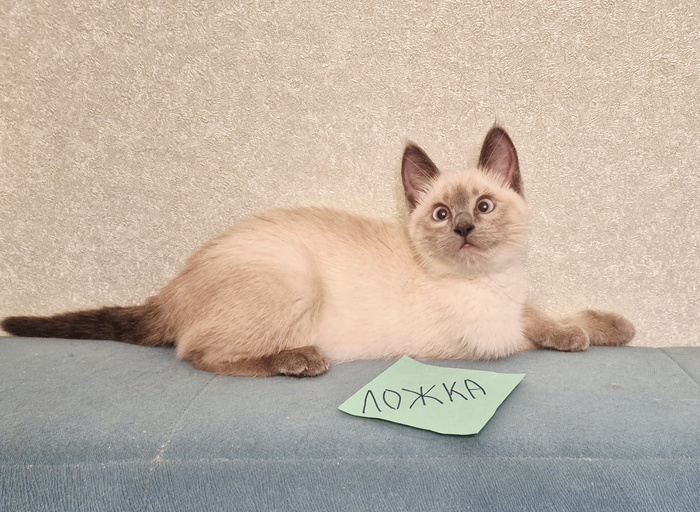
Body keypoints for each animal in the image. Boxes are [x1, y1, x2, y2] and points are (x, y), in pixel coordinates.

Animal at [1, 126, 635, 377]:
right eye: (440, 214)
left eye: (482, 207)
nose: (461, 231)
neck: (491, 281)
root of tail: (173, 287)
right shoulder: (488, 339)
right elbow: (539, 329)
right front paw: (585, 334)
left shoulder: (516, 304)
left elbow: (553, 315)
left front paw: (615, 326)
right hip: (295, 281)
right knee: (197, 352)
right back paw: (298, 359)